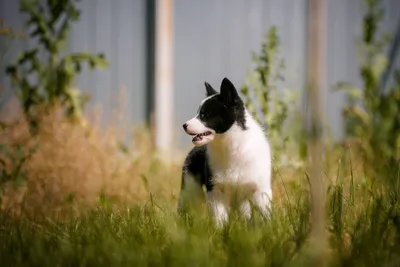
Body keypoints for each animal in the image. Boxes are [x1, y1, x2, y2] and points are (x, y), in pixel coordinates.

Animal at [177, 76, 274, 227]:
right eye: (198, 113)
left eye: (204, 115)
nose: (184, 125)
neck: (233, 146)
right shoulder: (216, 191)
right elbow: (220, 219)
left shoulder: (261, 191)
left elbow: (265, 216)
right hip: (190, 188)